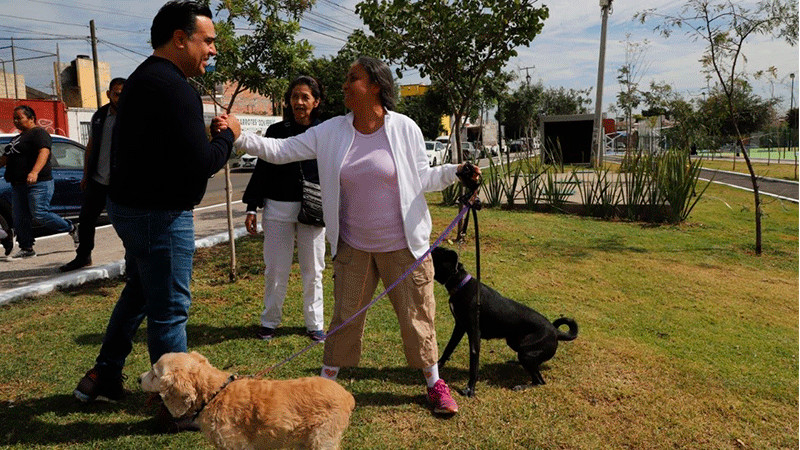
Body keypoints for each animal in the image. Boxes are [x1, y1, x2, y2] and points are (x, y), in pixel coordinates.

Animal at [434, 246, 580, 398]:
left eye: (432, 255)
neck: (460, 283)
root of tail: (555, 331)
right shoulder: (459, 327)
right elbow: (448, 348)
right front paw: (437, 367)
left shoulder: (474, 334)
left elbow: (473, 364)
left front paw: (470, 389)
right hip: (516, 344)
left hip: (526, 353)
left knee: (539, 381)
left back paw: (521, 386)